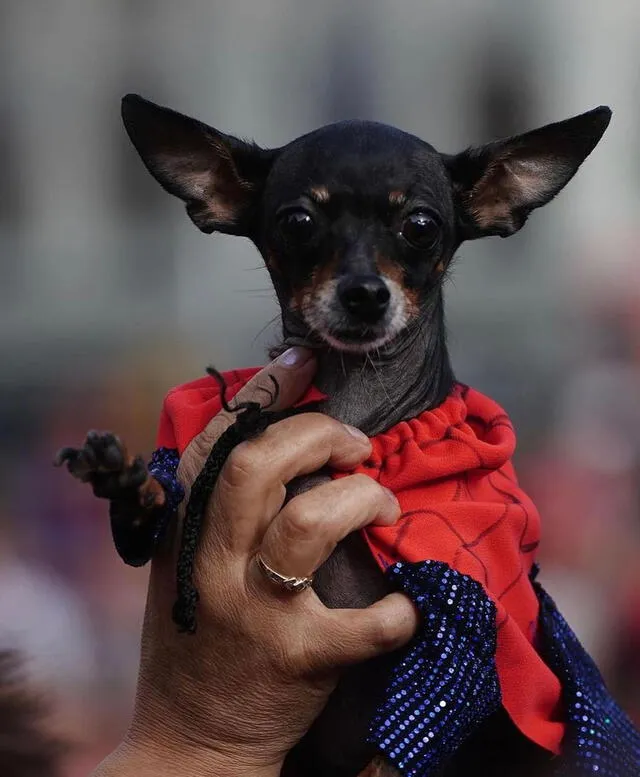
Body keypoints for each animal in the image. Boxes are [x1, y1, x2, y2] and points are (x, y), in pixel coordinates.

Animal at [56, 98, 616, 776]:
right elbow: (158, 508)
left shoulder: (462, 631)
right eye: (298, 221)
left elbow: (404, 742)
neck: (359, 414)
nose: (365, 293)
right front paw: (124, 479)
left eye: (421, 226)